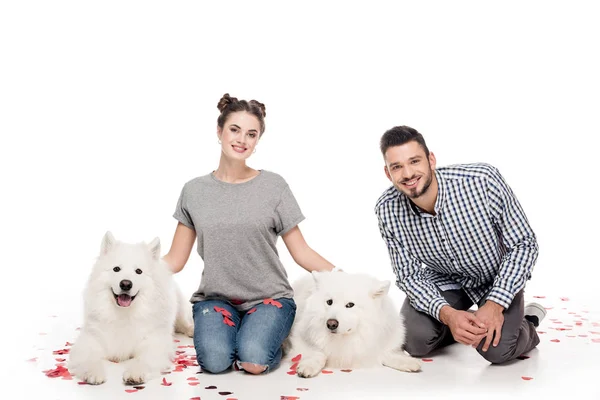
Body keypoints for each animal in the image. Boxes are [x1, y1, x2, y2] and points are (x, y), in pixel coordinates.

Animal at [69, 231, 193, 384]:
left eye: (138, 271)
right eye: (116, 269)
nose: (126, 284)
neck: (124, 313)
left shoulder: (154, 343)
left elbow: (143, 360)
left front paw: (135, 373)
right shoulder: (90, 340)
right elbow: (89, 358)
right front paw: (93, 373)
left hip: (180, 310)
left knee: (184, 322)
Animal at [284, 268, 422, 378]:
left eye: (350, 305)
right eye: (329, 302)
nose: (331, 324)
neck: (347, 338)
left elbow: (386, 353)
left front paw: (407, 362)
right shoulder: (300, 337)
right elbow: (318, 352)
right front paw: (309, 366)